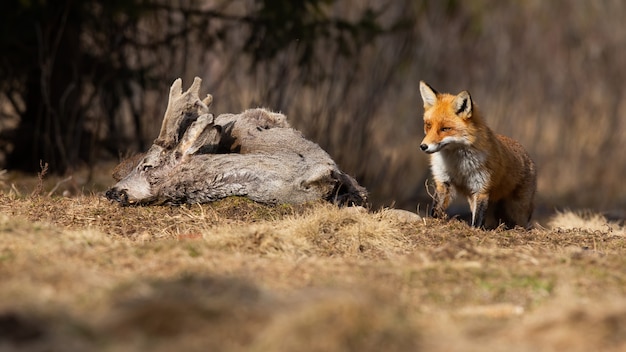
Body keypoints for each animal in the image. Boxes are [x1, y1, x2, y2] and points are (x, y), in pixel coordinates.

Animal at [416, 81, 532, 230]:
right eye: (428, 126)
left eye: (445, 129)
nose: (423, 146)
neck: (457, 165)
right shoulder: (444, 182)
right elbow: (436, 209)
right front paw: (432, 222)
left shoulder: (481, 188)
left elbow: (477, 219)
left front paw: (474, 231)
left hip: (518, 211)